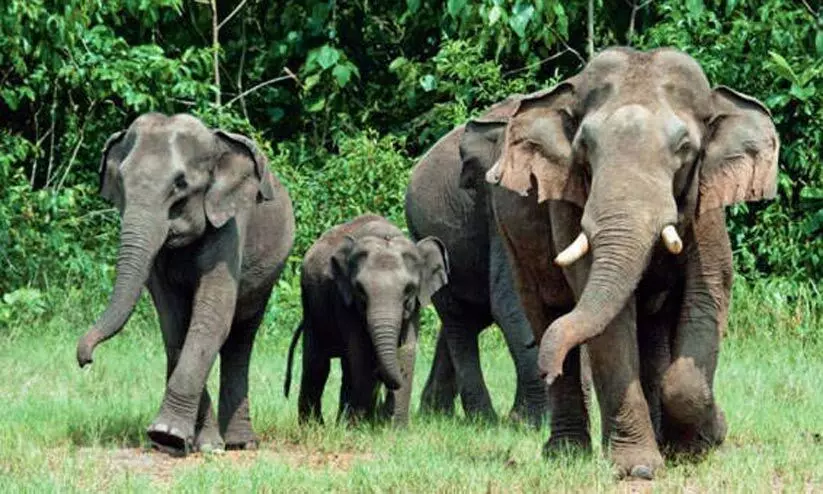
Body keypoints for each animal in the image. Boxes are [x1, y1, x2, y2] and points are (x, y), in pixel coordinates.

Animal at [72, 113, 294, 456]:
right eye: (121, 182)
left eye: (181, 184)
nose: (85, 360)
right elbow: (174, 323)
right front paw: (191, 443)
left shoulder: (232, 220)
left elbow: (212, 317)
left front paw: (169, 435)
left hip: (270, 270)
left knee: (242, 336)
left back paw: (241, 444)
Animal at [284, 214, 450, 426]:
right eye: (360, 289)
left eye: (409, 289)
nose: (382, 412)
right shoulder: (343, 299)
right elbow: (361, 352)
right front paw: (360, 427)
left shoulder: (415, 307)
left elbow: (406, 351)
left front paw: (396, 428)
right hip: (310, 304)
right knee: (317, 364)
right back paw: (315, 426)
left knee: (344, 368)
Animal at [404, 118, 552, 424]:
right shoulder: (500, 207)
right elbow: (512, 303)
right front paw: (534, 423)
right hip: (423, 233)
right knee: (458, 319)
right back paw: (482, 419)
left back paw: (437, 414)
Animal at [460, 47, 784, 478]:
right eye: (584, 147)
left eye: (685, 147)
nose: (547, 367)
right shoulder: (569, 200)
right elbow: (610, 326)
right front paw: (640, 469)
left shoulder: (707, 205)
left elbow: (706, 297)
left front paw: (700, 444)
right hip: (511, 238)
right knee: (546, 312)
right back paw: (567, 453)